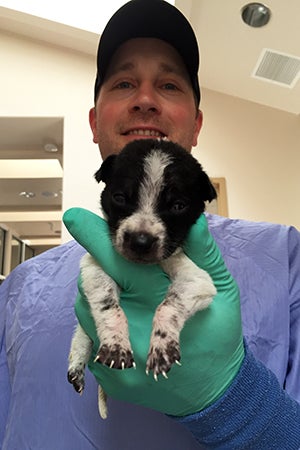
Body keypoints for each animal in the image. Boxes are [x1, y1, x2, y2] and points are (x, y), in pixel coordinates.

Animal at [67, 140, 218, 418]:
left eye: (178, 205)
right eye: (119, 198)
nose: (140, 241)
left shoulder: (197, 280)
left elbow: (168, 304)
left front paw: (162, 346)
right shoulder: (94, 269)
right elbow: (108, 306)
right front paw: (115, 344)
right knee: (81, 333)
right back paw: (77, 363)